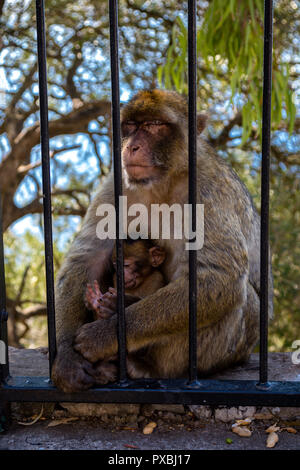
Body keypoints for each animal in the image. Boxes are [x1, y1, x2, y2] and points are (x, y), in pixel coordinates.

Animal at [51, 90, 272, 392]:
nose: (131, 146)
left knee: (241, 299)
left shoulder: (208, 188)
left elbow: (216, 277)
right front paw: (66, 358)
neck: (163, 182)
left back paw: (143, 365)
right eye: (130, 126)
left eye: (155, 125)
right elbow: (87, 259)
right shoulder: (116, 183)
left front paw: (106, 334)